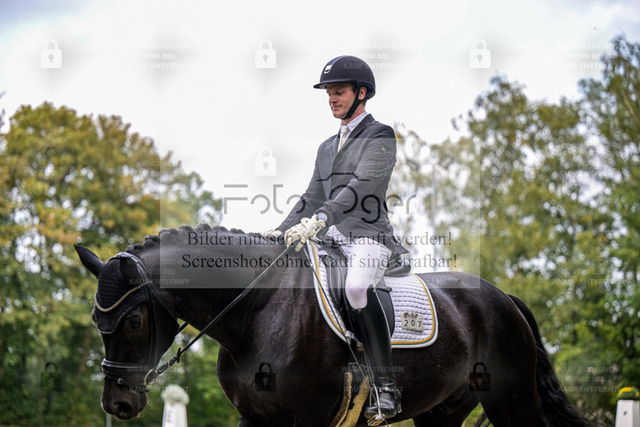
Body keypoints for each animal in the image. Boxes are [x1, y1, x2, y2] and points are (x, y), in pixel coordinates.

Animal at [75, 224, 587, 426]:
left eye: (134, 319)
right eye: (97, 320)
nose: (118, 404)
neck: (257, 310)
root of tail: (502, 297)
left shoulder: (310, 417)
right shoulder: (255, 418)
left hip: (511, 400)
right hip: (441, 411)